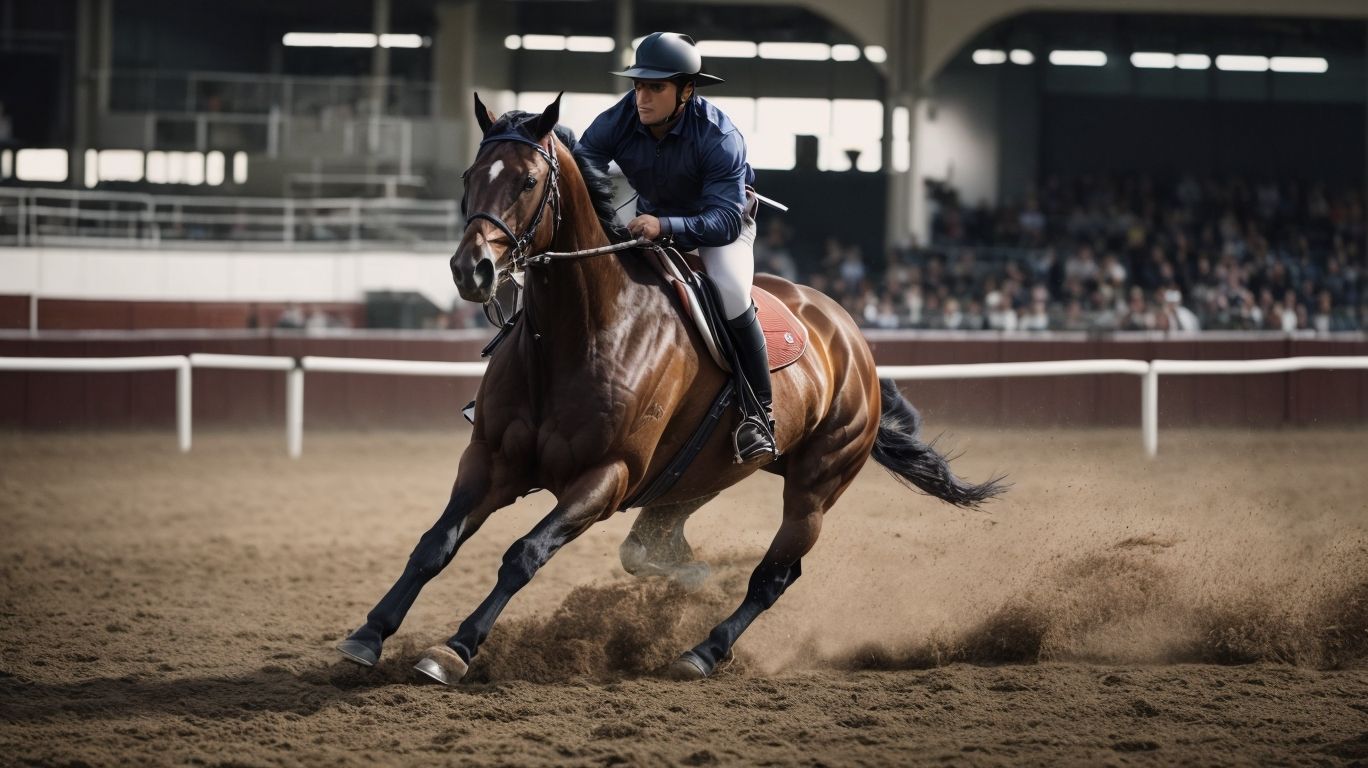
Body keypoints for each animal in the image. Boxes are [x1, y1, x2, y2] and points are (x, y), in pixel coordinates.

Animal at [336, 93, 1005, 684]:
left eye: (527, 182)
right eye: (470, 175)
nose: (470, 270)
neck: (579, 330)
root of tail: (851, 337)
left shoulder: (605, 476)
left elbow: (523, 555)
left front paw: (455, 649)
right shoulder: (493, 458)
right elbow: (434, 544)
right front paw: (368, 634)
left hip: (816, 485)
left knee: (774, 576)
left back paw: (702, 652)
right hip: (697, 475)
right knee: (654, 549)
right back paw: (691, 585)